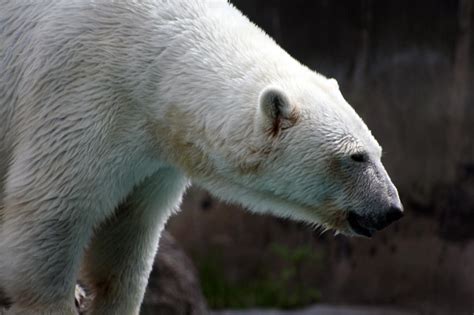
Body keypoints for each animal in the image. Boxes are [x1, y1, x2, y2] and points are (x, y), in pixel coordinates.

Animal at [0, 0, 404, 314]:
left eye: (378, 151)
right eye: (356, 157)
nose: (391, 209)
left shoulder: (153, 154)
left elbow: (127, 231)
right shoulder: (81, 93)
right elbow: (51, 212)